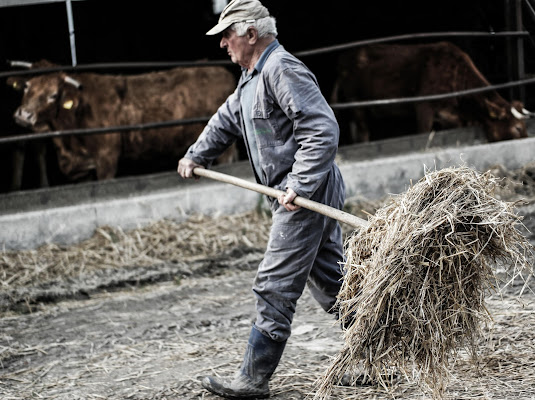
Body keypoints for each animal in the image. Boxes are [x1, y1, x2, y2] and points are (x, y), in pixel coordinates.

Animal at [7, 60, 238, 182]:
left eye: (53, 95)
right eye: (27, 86)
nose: (24, 115)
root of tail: (218, 70)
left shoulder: (106, 158)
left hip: (226, 152)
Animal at [332, 40, 528, 143]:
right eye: (517, 128)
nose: (526, 137)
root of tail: (345, 56)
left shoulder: (451, 116)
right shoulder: (423, 106)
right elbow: (423, 133)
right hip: (355, 101)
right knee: (364, 132)